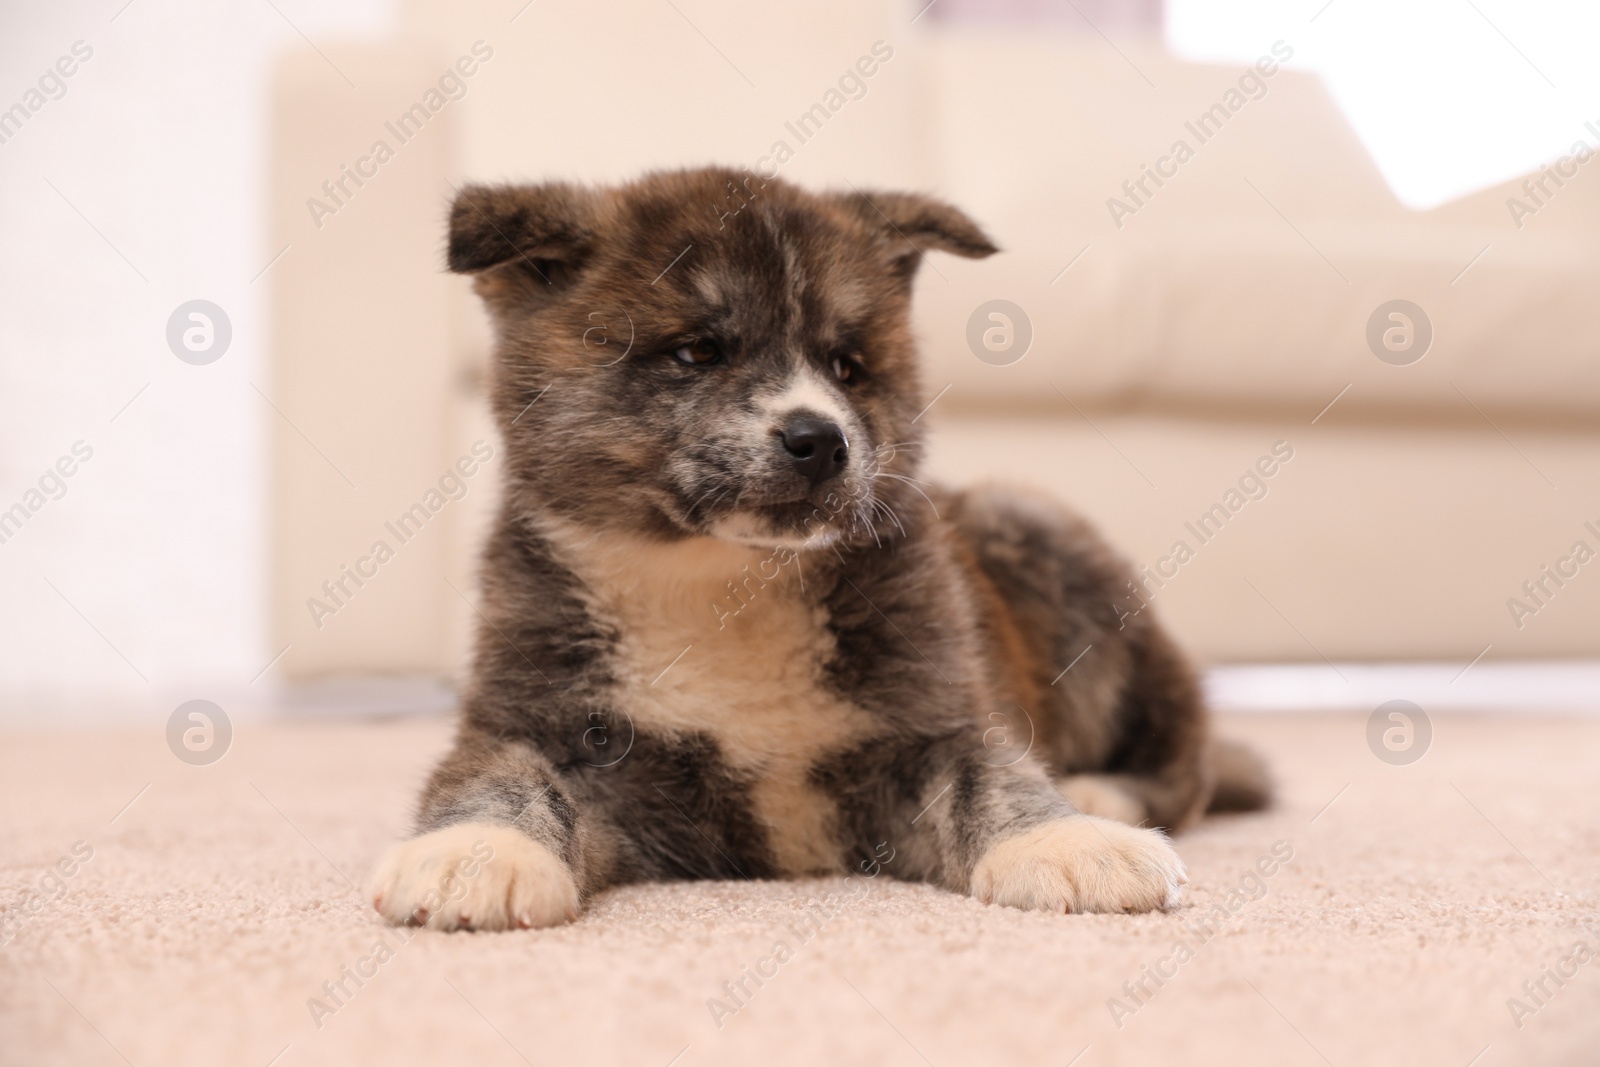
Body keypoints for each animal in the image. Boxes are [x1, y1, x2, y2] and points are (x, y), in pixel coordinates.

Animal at [368, 167, 1267, 934]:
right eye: (698, 350)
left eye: (848, 364)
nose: (820, 440)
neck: (722, 583)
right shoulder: (536, 719)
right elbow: (501, 778)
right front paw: (477, 850)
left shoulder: (932, 722)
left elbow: (989, 775)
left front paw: (1061, 838)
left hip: (1044, 539)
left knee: (1189, 759)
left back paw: (1100, 794)